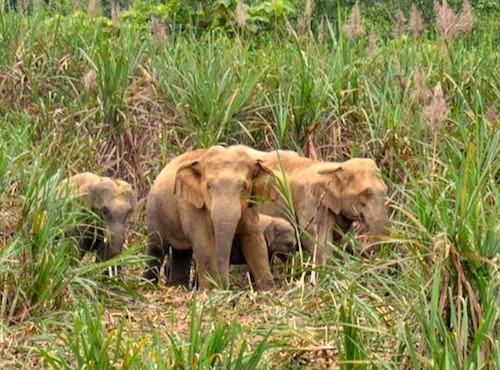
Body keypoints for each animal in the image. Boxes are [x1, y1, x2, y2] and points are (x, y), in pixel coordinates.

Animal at [143, 145, 276, 290]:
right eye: (208, 186)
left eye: (244, 186)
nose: (226, 286)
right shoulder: (190, 205)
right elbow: (204, 241)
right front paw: (212, 290)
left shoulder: (250, 206)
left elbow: (254, 239)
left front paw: (267, 290)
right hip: (154, 211)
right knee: (156, 248)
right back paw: (147, 285)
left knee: (182, 252)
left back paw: (178, 287)